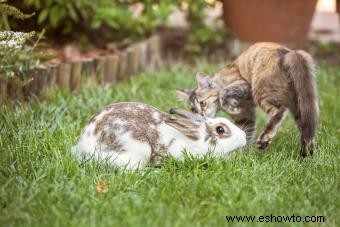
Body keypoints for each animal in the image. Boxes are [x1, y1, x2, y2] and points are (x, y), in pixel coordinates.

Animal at [178, 42, 318, 158]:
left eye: (202, 103)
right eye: (192, 109)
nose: (200, 115)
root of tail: (289, 53)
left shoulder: (244, 86)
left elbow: (223, 93)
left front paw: (232, 106)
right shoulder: (245, 116)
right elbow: (246, 133)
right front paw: (242, 154)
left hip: (260, 90)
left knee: (280, 110)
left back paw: (264, 140)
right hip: (300, 106)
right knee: (306, 133)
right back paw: (305, 156)